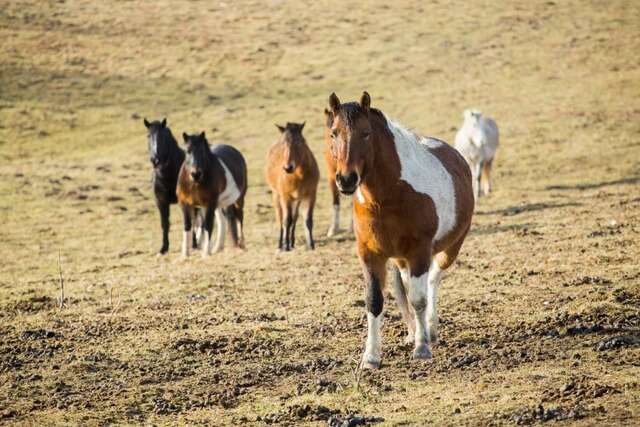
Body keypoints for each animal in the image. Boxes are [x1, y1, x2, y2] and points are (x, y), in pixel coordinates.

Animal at [144, 118, 200, 254]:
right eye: (148, 136)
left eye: (162, 136)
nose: (155, 160)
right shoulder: (160, 202)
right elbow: (165, 223)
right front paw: (164, 248)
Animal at [264, 122, 320, 251]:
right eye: (283, 143)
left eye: (299, 142)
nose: (288, 167)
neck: (299, 175)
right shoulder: (285, 197)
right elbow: (286, 220)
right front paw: (286, 246)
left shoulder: (310, 195)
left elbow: (307, 220)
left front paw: (311, 245)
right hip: (276, 195)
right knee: (280, 218)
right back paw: (281, 244)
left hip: (297, 199)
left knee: (294, 218)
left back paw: (292, 242)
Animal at [324, 92, 476, 370]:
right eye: (333, 133)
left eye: (366, 133)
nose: (346, 180)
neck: (388, 195)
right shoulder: (370, 255)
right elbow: (374, 301)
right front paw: (371, 356)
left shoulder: (419, 252)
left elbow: (418, 299)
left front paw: (422, 348)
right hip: (401, 259)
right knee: (408, 285)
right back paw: (414, 331)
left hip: (449, 249)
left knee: (433, 280)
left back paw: (429, 330)